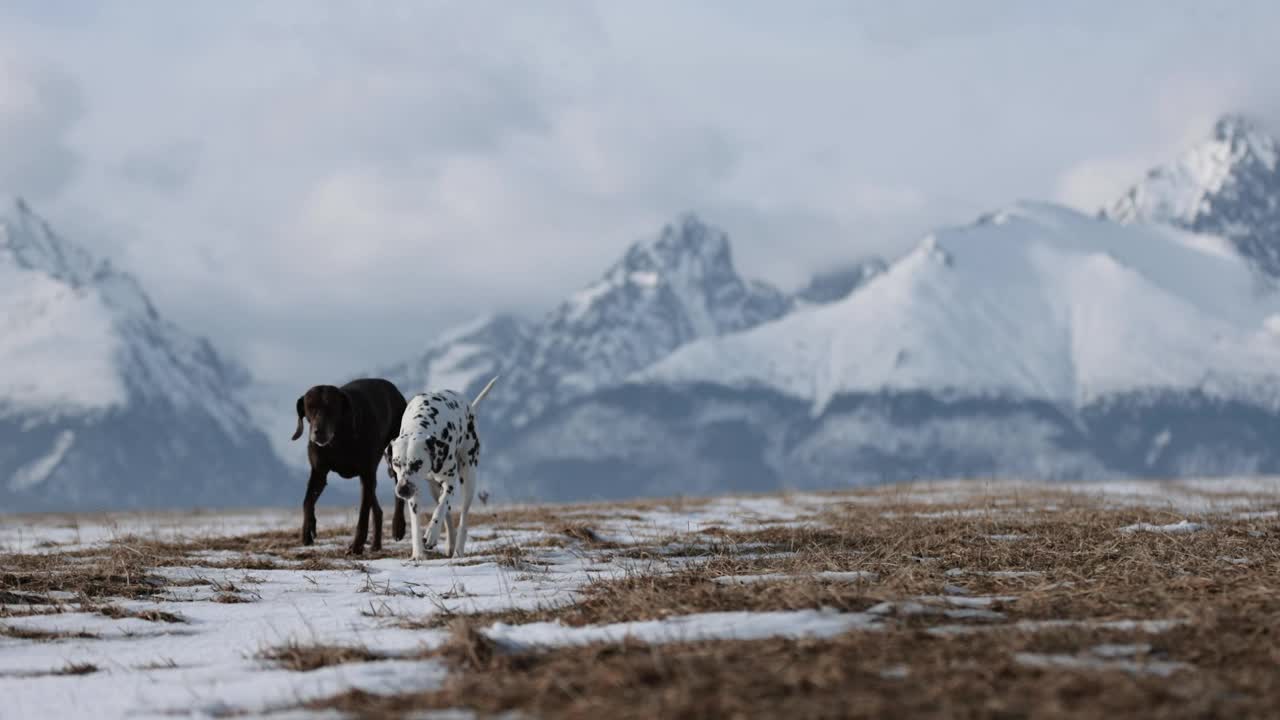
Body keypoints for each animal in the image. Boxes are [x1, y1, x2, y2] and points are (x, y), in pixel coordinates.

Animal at [293, 379, 407, 550]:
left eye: (332, 407)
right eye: (310, 407)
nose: (318, 432)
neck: (339, 439)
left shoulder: (367, 473)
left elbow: (363, 513)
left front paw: (357, 545)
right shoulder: (319, 473)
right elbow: (307, 502)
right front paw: (308, 531)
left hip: (393, 454)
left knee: (396, 493)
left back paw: (398, 526)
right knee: (377, 508)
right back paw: (376, 544)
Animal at [381, 376, 496, 561]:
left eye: (417, 463)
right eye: (396, 463)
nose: (403, 490)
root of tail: (469, 406)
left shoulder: (449, 482)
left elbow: (442, 506)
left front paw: (431, 533)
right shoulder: (415, 491)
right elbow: (417, 521)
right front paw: (418, 553)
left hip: (468, 477)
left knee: (462, 516)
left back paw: (457, 550)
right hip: (433, 488)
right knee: (447, 515)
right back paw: (449, 544)